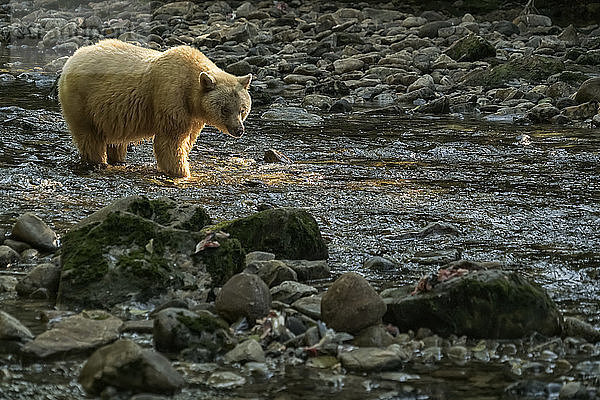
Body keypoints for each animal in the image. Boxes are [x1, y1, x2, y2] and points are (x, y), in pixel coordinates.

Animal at [58, 39, 251, 177]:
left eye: (242, 109)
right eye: (225, 109)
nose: (239, 130)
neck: (191, 93)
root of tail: (73, 57)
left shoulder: (194, 116)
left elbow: (187, 139)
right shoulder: (171, 96)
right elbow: (171, 141)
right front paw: (181, 172)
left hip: (108, 113)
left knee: (115, 140)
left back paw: (118, 160)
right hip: (82, 101)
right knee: (89, 136)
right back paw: (98, 162)